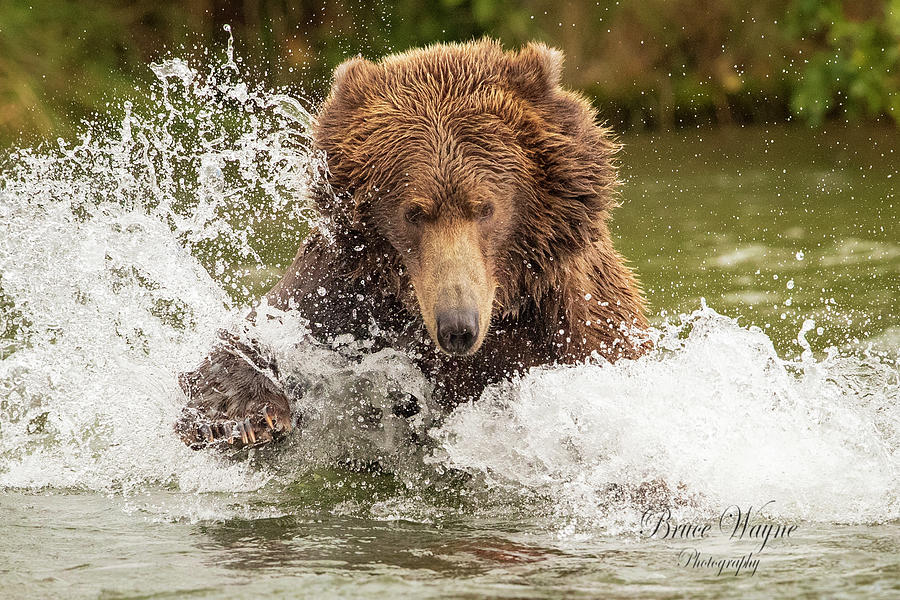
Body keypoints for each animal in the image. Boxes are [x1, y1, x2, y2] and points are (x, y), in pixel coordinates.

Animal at [178, 39, 648, 448]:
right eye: (413, 213)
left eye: (485, 208)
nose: (457, 326)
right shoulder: (342, 289)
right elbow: (250, 336)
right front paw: (245, 418)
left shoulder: (580, 323)